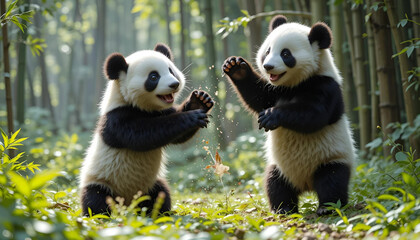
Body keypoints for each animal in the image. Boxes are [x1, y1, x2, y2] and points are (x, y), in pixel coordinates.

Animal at [79, 43, 213, 216]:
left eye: (170, 70)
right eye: (153, 77)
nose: (174, 84)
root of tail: (129, 205)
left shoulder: (160, 110)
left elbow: (177, 137)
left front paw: (200, 100)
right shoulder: (116, 119)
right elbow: (143, 135)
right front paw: (192, 117)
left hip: (151, 184)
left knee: (161, 193)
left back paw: (159, 212)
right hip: (103, 181)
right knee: (96, 198)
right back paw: (104, 214)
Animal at [221, 15, 356, 215]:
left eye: (286, 54)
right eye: (268, 51)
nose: (268, 66)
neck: (296, 83)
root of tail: (305, 184)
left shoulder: (326, 86)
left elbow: (314, 115)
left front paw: (271, 117)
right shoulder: (276, 90)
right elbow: (258, 96)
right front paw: (236, 68)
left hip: (332, 156)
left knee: (332, 180)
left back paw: (327, 207)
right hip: (280, 167)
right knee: (275, 183)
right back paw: (283, 208)